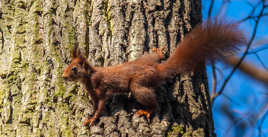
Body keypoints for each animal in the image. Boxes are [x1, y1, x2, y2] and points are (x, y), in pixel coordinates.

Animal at [62, 20, 245, 126]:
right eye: (67, 66)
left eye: (74, 69)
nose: (63, 77)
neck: (89, 76)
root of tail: (158, 70)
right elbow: (95, 103)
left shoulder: (100, 87)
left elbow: (101, 104)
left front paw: (93, 118)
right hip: (146, 61)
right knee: (155, 58)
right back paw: (159, 52)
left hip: (139, 84)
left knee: (153, 102)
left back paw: (147, 110)